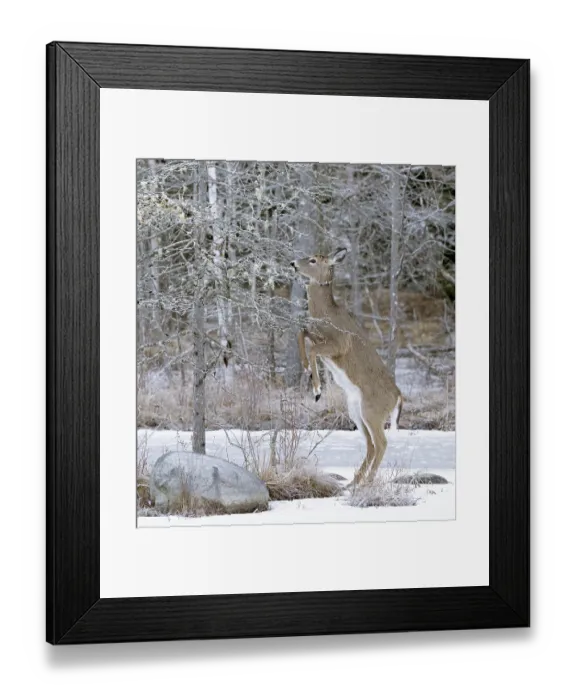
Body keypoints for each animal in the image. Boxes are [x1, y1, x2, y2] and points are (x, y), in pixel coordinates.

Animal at [290, 248, 403, 488]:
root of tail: (398, 396)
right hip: (356, 411)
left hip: (372, 410)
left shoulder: (339, 344)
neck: (327, 315)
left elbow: (312, 347)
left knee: (381, 443)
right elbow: (302, 332)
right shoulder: (318, 336)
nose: (292, 263)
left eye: (313, 260)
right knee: (370, 444)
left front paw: (317, 390)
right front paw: (306, 369)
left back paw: (366, 482)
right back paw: (353, 482)